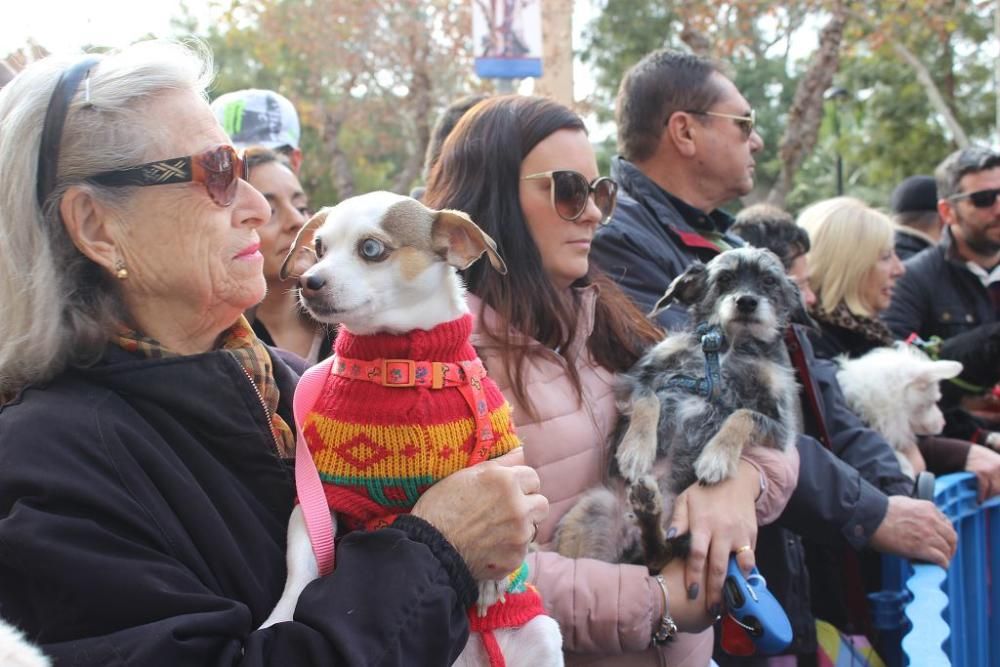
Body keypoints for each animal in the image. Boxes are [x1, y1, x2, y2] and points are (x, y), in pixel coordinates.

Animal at [560, 248, 800, 572]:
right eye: (725, 279)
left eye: (769, 281)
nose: (747, 301)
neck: (723, 347)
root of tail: (631, 547)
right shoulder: (636, 379)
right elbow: (650, 400)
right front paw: (637, 450)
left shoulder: (783, 426)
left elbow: (742, 415)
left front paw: (716, 456)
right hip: (594, 507)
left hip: (684, 528)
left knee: (662, 551)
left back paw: (649, 511)